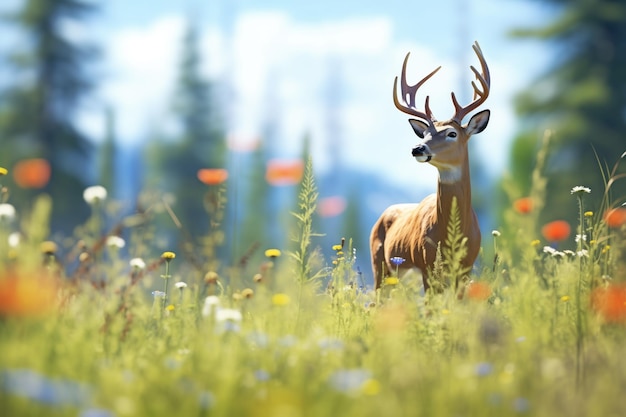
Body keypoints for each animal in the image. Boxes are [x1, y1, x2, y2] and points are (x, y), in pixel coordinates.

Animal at [368, 40, 490, 290]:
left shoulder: (467, 267)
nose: (418, 148)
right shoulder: (427, 264)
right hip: (380, 265)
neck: (451, 235)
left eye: (452, 133)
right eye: (424, 133)